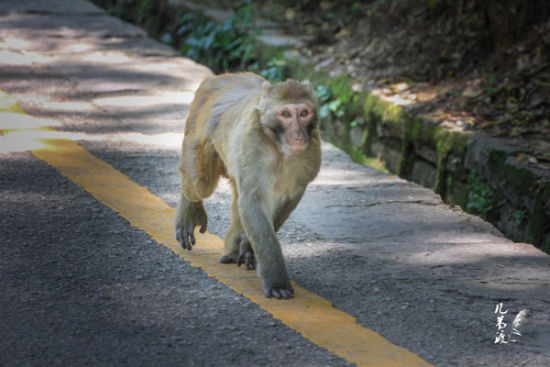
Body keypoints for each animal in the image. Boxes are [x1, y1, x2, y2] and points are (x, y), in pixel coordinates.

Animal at [176, 72, 324, 300]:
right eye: (286, 114)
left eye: (304, 113)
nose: (299, 136)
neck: (279, 146)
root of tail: (219, 77)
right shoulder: (252, 144)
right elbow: (253, 201)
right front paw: (277, 281)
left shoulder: (310, 154)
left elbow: (288, 198)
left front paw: (247, 245)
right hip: (197, 127)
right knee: (201, 184)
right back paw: (189, 208)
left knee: (238, 199)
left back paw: (233, 250)